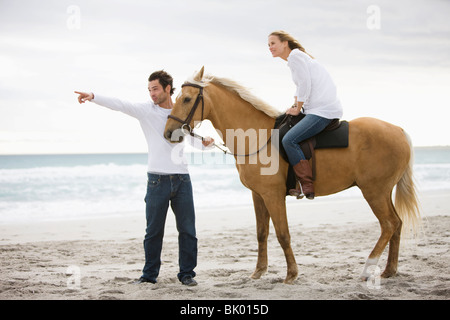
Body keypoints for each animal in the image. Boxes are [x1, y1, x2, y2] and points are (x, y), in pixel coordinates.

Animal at [164, 67, 422, 282]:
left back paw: (368, 268)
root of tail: (398, 130)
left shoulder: (273, 196)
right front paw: (259, 271)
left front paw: (291, 274)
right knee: (397, 224)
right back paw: (389, 270)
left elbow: (282, 234)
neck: (258, 136)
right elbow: (261, 233)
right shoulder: (258, 195)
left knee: (388, 224)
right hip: (383, 192)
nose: (168, 133)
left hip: (374, 191)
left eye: (186, 99)